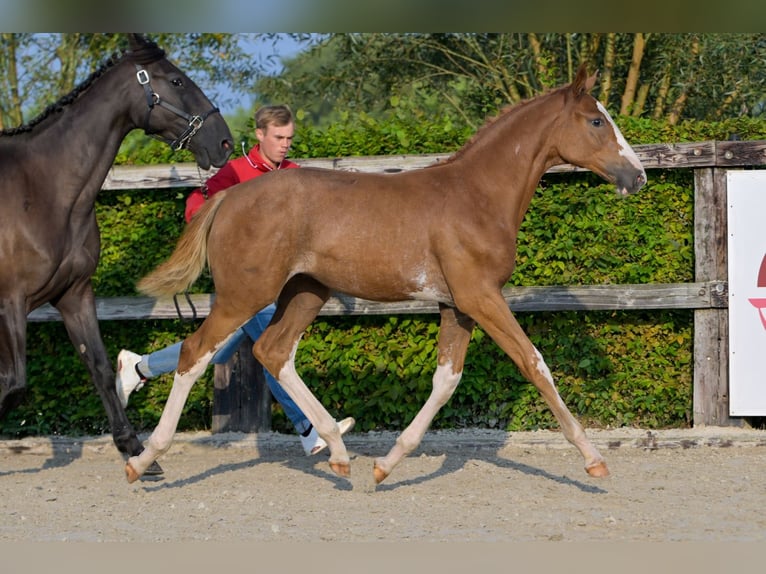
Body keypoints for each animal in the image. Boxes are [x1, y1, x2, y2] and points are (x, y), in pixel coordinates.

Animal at [0, 35, 234, 476]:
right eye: (176, 80)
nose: (224, 141)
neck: (43, 190)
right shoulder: (10, 301)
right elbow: (15, 384)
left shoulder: (74, 294)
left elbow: (101, 369)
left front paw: (135, 449)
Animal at [126, 64, 648, 486]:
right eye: (597, 121)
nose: (638, 176)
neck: (477, 195)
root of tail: (228, 197)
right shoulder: (481, 296)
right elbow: (534, 363)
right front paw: (594, 460)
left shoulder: (456, 304)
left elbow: (446, 381)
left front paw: (385, 465)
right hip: (244, 294)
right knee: (195, 353)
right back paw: (143, 459)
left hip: (305, 292)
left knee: (273, 352)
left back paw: (338, 452)